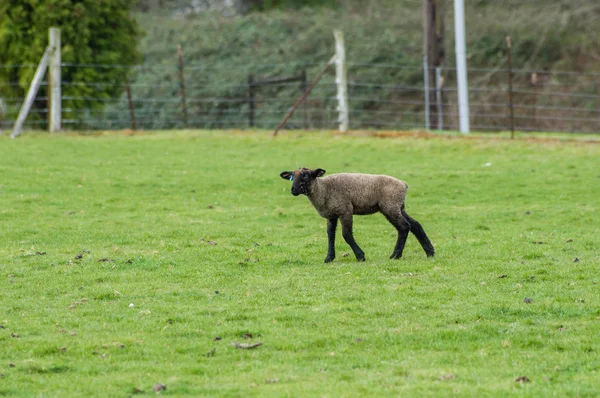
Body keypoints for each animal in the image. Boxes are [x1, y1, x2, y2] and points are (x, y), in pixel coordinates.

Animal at [278, 167, 434, 262]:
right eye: (292, 177)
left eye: (306, 175)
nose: (293, 190)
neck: (323, 189)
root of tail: (404, 185)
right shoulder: (332, 215)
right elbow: (330, 235)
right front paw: (329, 258)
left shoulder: (345, 210)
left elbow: (346, 234)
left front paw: (360, 256)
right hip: (399, 206)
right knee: (415, 225)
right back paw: (430, 252)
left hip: (390, 206)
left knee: (404, 227)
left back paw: (395, 255)